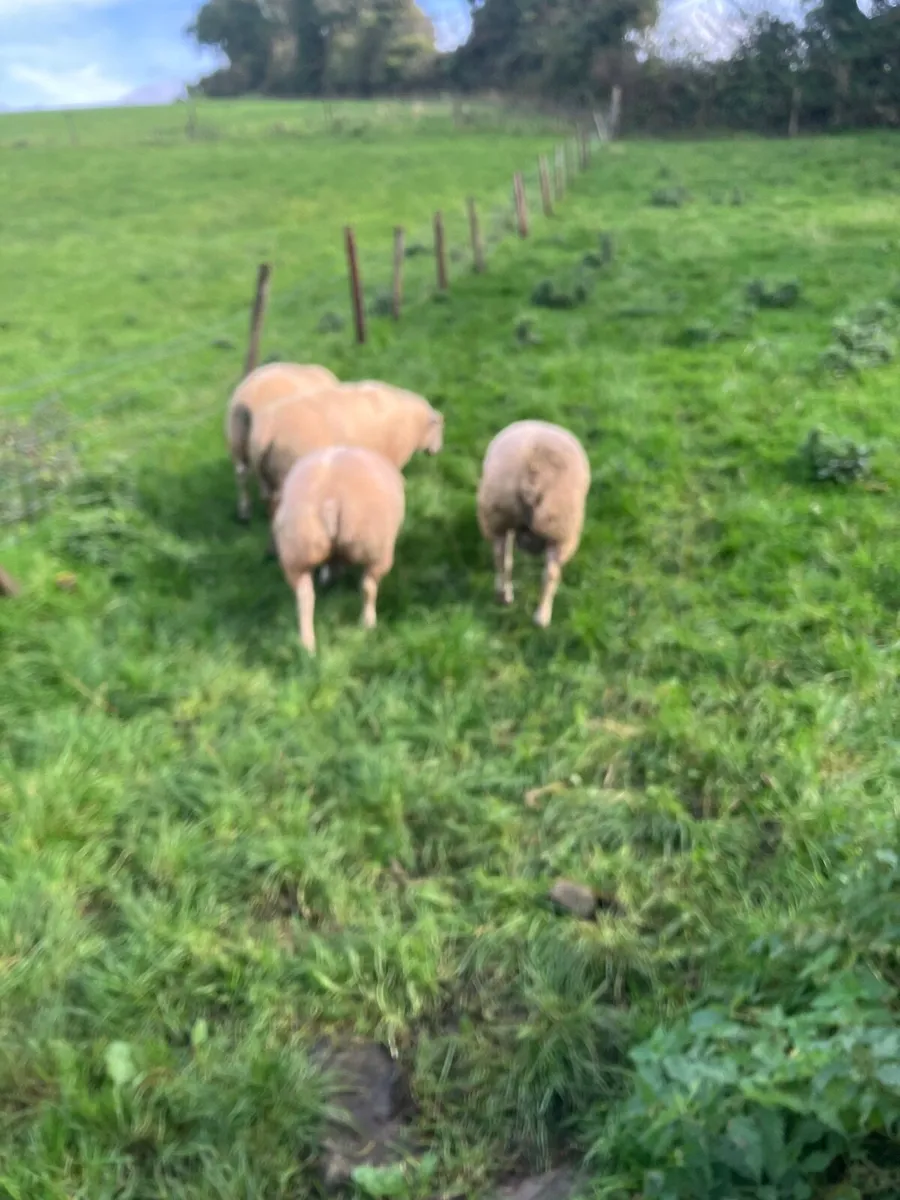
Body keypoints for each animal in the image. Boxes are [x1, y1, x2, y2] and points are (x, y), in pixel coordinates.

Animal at [272, 445, 406, 656]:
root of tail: (330, 498)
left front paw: (330, 577)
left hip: (297, 550)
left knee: (304, 597)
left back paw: (307, 645)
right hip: (375, 548)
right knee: (368, 586)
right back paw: (368, 622)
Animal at [476, 420, 590, 628]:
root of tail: (533, 476)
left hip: (497, 516)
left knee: (502, 559)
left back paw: (504, 595)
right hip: (561, 531)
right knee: (551, 574)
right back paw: (542, 617)